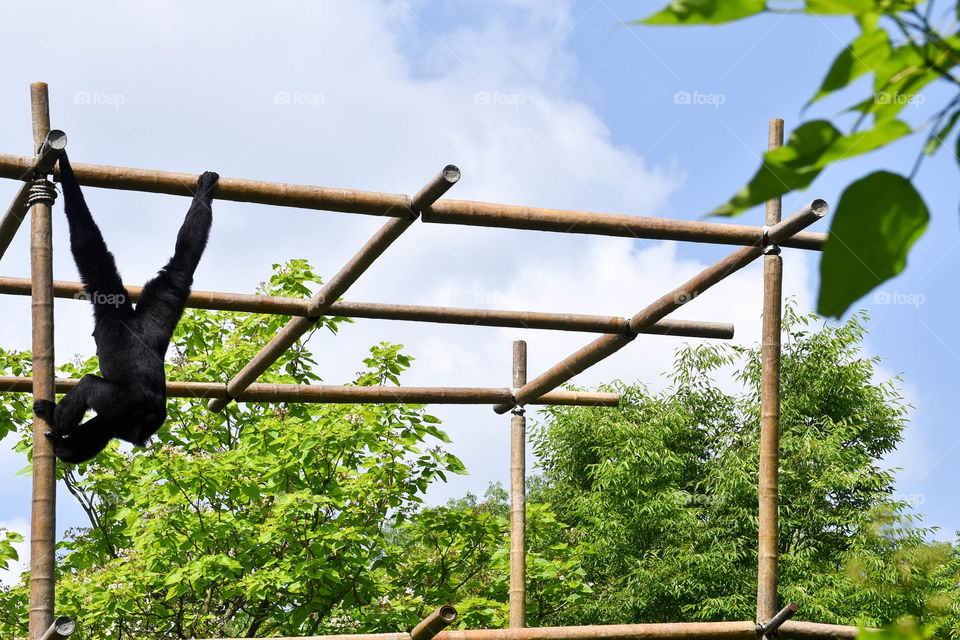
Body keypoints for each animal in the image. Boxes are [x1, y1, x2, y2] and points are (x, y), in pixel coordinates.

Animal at [33, 150, 219, 463]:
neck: (131, 318)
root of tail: (152, 413)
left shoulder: (108, 297)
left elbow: (87, 245)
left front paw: (64, 162)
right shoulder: (166, 295)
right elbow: (184, 260)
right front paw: (205, 188)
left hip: (123, 402)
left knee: (89, 387)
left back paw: (55, 423)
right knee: (103, 427)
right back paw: (67, 447)